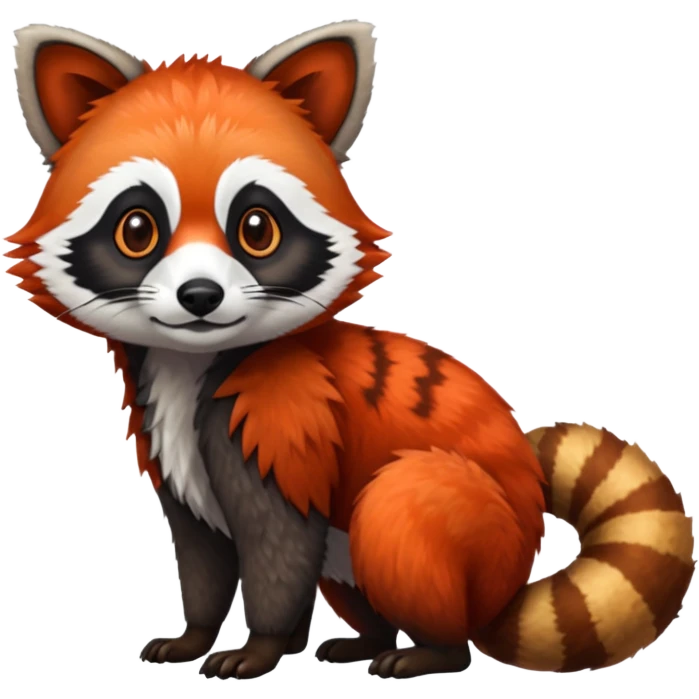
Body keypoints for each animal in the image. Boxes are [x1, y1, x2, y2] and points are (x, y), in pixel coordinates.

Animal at [6, 20, 696, 681]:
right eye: (137, 229)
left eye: (256, 228)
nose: (199, 296)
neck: (193, 362)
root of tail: (507, 581)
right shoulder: (171, 439)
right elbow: (202, 549)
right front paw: (199, 634)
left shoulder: (283, 418)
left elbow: (280, 546)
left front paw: (261, 646)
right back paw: (368, 637)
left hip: (471, 536)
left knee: (401, 503)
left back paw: (431, 651)